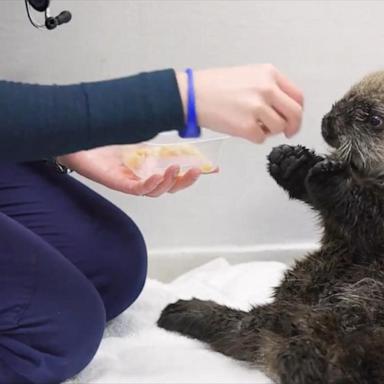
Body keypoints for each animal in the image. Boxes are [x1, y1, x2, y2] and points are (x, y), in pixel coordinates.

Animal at [156, 72, 384, 384]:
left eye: (373, 119)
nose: (329, 121)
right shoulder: (342, 236)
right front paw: (293, 162)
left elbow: (367, 217)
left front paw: (331, 176)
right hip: (310, 274)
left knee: (249, 331)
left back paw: (188, 311)